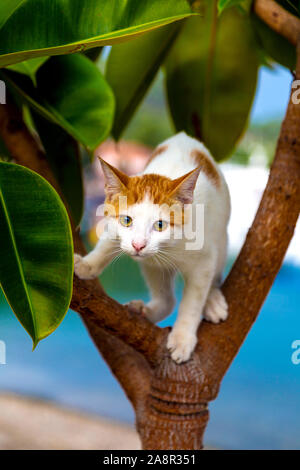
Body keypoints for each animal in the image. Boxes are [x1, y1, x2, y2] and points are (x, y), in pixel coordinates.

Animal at [74, 132, 230, 364]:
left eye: (160, 225)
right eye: (127, 220)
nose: (138, 245)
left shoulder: (204, 257)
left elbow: (193, 300)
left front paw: (183, 338)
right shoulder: (115, 227)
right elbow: (108, 241)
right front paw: (87, 264)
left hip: (220, 237)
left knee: (214, 271)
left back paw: (212, 300)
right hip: (151, 264)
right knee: (167, 297)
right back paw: (145, 311)